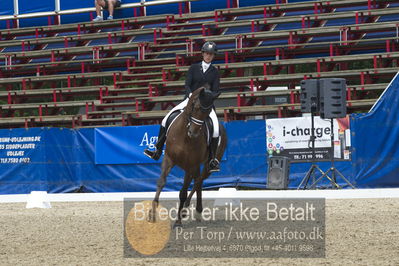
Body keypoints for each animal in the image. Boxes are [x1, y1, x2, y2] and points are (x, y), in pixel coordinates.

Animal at [148, 87, 227, 227]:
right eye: (195, 107)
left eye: (208, 112)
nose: (193, 133)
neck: (184, 137)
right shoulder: (168, 159)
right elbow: (161, 182)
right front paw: (152, 214)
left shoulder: (191, 164)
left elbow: (183, 192)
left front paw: (178, 221)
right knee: (198, 181)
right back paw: (193, 211)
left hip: (206, 166)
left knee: (198, 181)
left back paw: (192, 210)